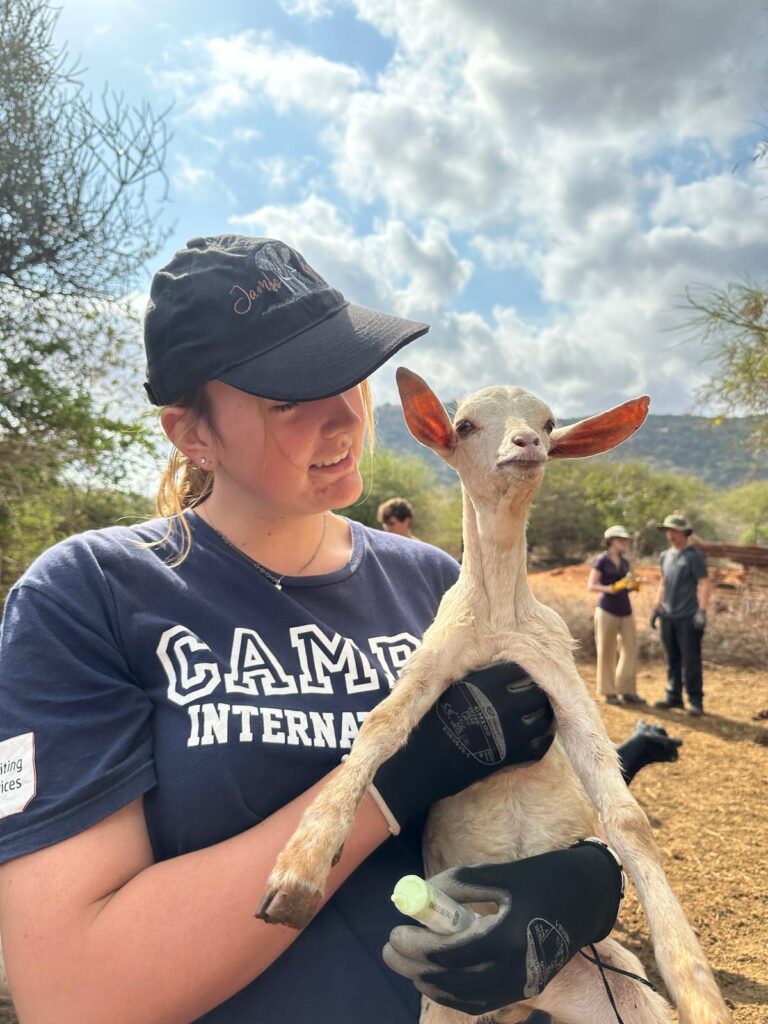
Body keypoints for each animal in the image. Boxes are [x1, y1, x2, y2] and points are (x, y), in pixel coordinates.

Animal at [257, 369, 731, 1024]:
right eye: (464, 425)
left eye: (551, 422)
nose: (526, 444)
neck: (500, 618)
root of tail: (517, 1001)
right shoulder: (436, 660)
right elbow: (379, 730)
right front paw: (298, 871)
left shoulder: (559, 676)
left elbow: (628, 817)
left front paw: (696, 985)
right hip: (440, 1003)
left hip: (611, 981)